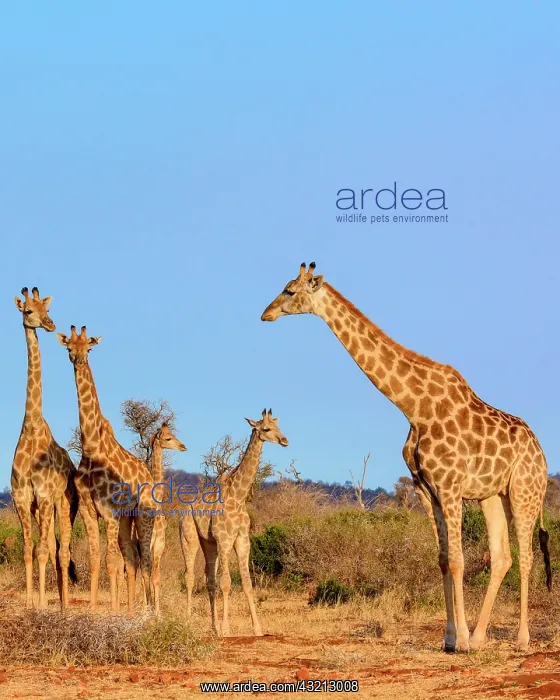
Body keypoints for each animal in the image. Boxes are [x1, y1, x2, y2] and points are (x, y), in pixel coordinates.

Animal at [57, 326, 156, 614]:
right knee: (132, 558)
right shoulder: (89, 510)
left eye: (89, 348)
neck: (91, 449)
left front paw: (111, 610)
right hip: (125, 519)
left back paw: (149, 610)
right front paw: (93, 610)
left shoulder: (109, 512)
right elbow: (95, 559)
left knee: (145, 560)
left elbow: (112, 562)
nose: (78, 360)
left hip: (143, 515)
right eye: (69, 348)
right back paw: (132, 610)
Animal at [179, 409, 288, 636]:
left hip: (208, 543)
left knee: (209, 580)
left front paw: (257, 629)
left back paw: (213, 627)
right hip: (188, 537)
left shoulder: (242, 540)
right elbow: (227, 582)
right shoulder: (225, 540)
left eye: (279, 426)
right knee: (189, 577)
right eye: (266, 428)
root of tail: (184, 510)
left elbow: (246, 584)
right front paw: (227, 628)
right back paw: (187, 621)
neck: (238, 498)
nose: (285, 440)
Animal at [261, 263, 551, 653]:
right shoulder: (425, 488)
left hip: (524, 491)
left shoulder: (450, 486)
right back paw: (479, 638)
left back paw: (520, 640)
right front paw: (451, 638)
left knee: (526, 555)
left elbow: (458, 561)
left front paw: (459, 641)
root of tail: (541, 452)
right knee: (502, 556)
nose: (266, 313)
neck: (415, 408)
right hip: (491, 494)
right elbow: (443, 560)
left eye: (290, 291)